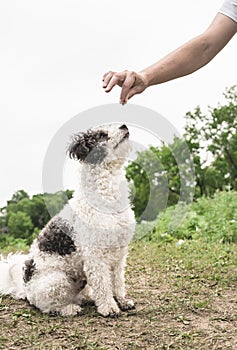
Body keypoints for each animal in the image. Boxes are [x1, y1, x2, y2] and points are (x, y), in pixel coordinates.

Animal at [0, 123, 136, 318]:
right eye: (102, 134)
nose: (124, 125)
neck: (107, 195)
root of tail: (25, 290)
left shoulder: (119, 254)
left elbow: (117, 282)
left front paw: (122, 301)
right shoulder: (95, 256)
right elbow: (103, 284)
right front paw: (109, 307)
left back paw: (86, 298)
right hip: (56, 280)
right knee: (47, 306)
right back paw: (69, 308)